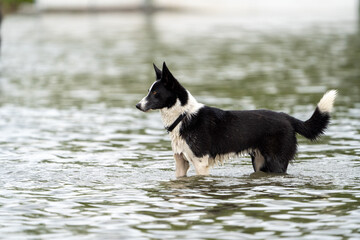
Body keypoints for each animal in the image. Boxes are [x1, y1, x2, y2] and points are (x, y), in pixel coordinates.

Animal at [136, 62, 338, 177]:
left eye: (155, 93)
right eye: (149, 91)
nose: (138, 105)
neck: (183, 115)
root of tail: (286, 117)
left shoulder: (200, 163)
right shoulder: (181, 163)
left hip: (276, 163)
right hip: (259, 162)